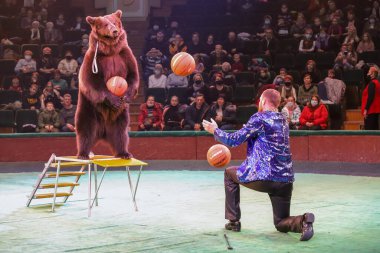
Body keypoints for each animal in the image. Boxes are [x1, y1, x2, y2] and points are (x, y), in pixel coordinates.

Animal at [74, 11, 140, 160]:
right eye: (105, 24)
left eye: (114, 22)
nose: (114, 31)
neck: (111, 50)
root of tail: (102, 133)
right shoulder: (94, 59)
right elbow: (92, 81)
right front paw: (114, 100)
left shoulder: (125, 56)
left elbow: (133, 75)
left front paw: (126, 96)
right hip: (88, 109)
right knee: (85, 130)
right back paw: (83, 153)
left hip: (119, 117)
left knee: (121, 133)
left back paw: (124, 152)